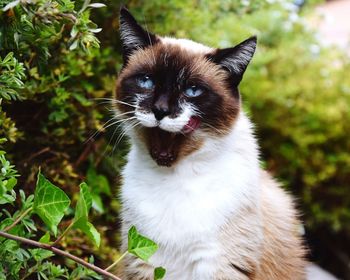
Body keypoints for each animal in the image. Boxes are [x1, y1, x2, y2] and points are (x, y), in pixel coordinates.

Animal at [115, 6, 306, 280]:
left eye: (193, 91)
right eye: (147, 81)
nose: (160, 110)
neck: (173, 178)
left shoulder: (220, 264)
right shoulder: (142, 258)